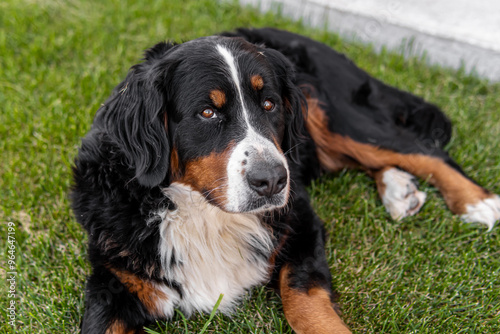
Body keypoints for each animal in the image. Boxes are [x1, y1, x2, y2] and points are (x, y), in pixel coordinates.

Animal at [72, 28, 498, 334]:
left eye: (269, 104)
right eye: (207, 112)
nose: (273, 180)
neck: (205, 215)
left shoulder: (302, 224)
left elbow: (304, 300)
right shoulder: (113, 282)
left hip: (336, 118)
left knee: (421, 150)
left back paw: (476, 201)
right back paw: (399, 190)